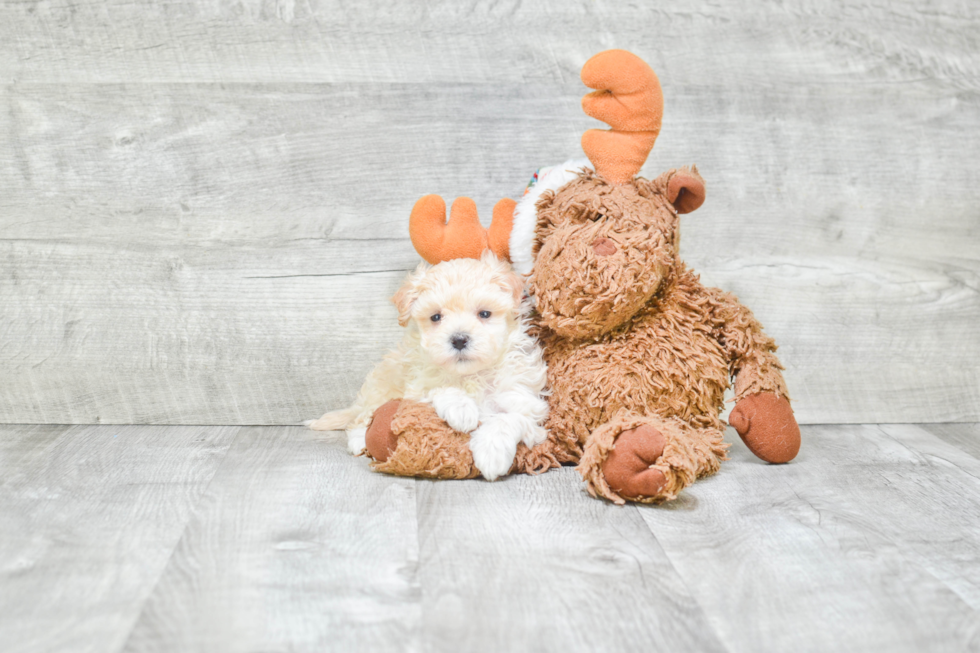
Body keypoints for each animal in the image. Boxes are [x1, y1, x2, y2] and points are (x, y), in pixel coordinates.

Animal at [310, 252, 548, 482]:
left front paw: (492, 453)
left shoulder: (529, 408)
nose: (459, 339)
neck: (471, 375)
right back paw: (359, 440)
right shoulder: (416, 385)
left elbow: (510, 418)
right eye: (436, 317)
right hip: (381, 387)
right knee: (361, 417)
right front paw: (461, 408)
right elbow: (437, 387)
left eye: (484, 314)